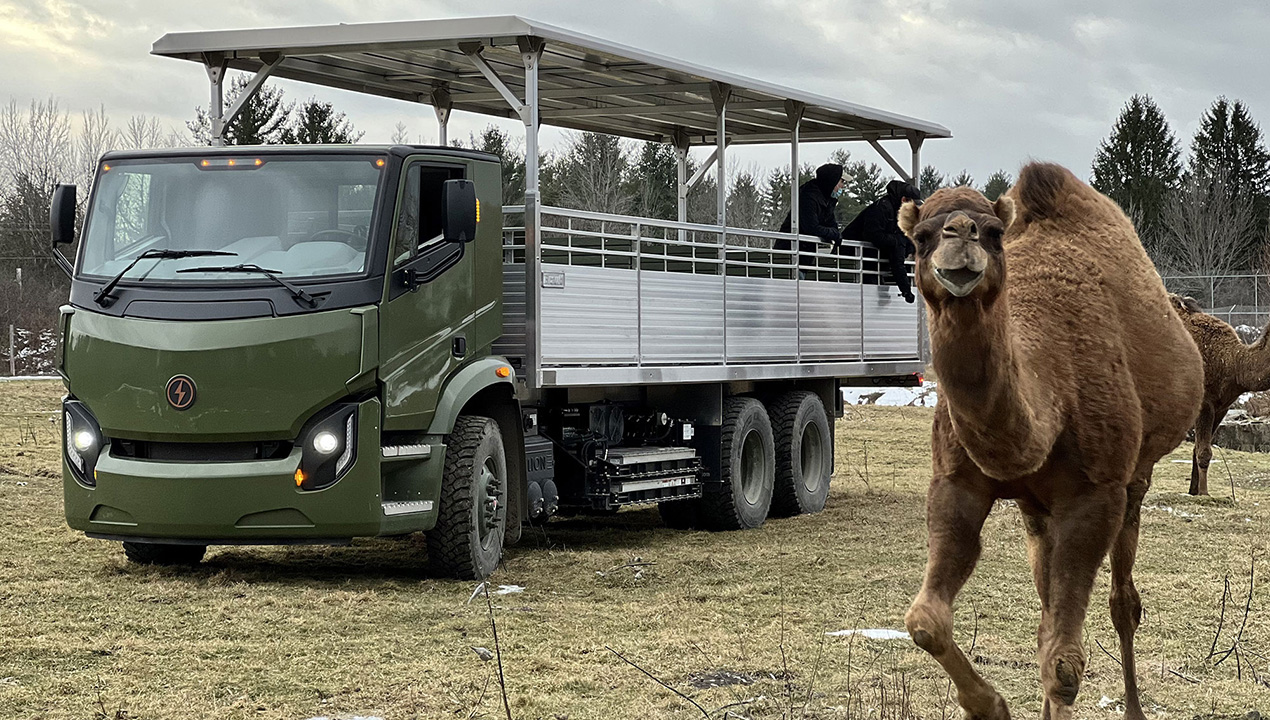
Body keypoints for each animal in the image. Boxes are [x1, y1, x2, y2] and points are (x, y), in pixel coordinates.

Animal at [899, 165, 1203, 720]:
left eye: (993, 232)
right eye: (921, 237)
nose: (959, 237)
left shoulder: (1095, 494)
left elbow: (1064, 664)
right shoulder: (956, 482)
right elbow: (925, 621)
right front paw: (990, 705)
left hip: (1135, 477)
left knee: (1122, 602)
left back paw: (1133, 706)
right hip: (1036, 507)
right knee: (1046, 609)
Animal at [1163, 294, 1270, 495]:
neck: (1234, 362)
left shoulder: (1223, 406)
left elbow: (1197, 448)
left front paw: (1193, 491)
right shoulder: (1205, 403)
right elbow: (1204, 452)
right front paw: (1205, 494)